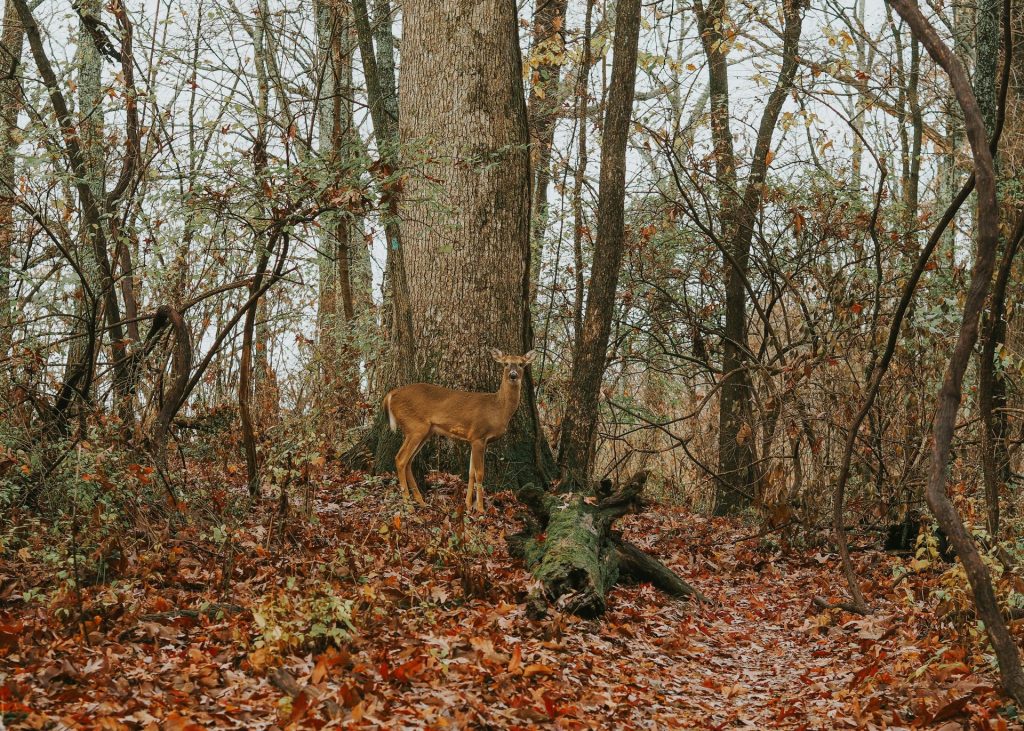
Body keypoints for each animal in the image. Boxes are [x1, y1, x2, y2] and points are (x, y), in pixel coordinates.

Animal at [382, 348, 538, 513]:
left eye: (521, 364)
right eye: (506, 363)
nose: (513, 375)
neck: (498, 409)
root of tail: (391, 395)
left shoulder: (474, 438)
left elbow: (470, 473)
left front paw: (468, 505)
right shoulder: (479, 436)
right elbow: (480, 473)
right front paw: (480, 509)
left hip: (424, 431)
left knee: (408, 461)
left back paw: (422, 502)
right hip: (415, 427)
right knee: (400, 459)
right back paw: (409, 506)